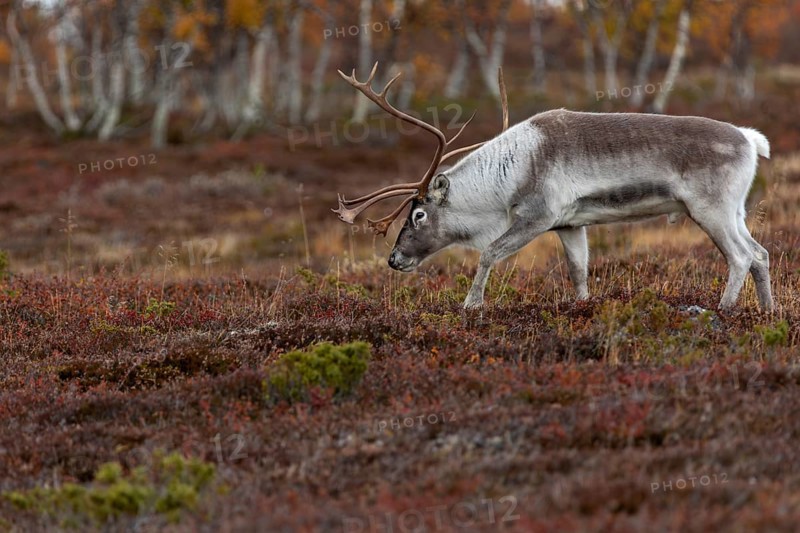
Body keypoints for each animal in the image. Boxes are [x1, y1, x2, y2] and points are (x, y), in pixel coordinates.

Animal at [333, 63, 773, 312]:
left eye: (419, 214)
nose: (394, 259)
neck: (506, 174)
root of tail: (750, 139)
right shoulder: (570, 224)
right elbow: (578, 272)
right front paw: (582, 308)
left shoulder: (536, 216)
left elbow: (489, 253)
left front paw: (471, 305)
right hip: (736, 211)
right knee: (761, 253)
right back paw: (766, 312)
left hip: (710, 209)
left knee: (740, 256)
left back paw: (724, 310)